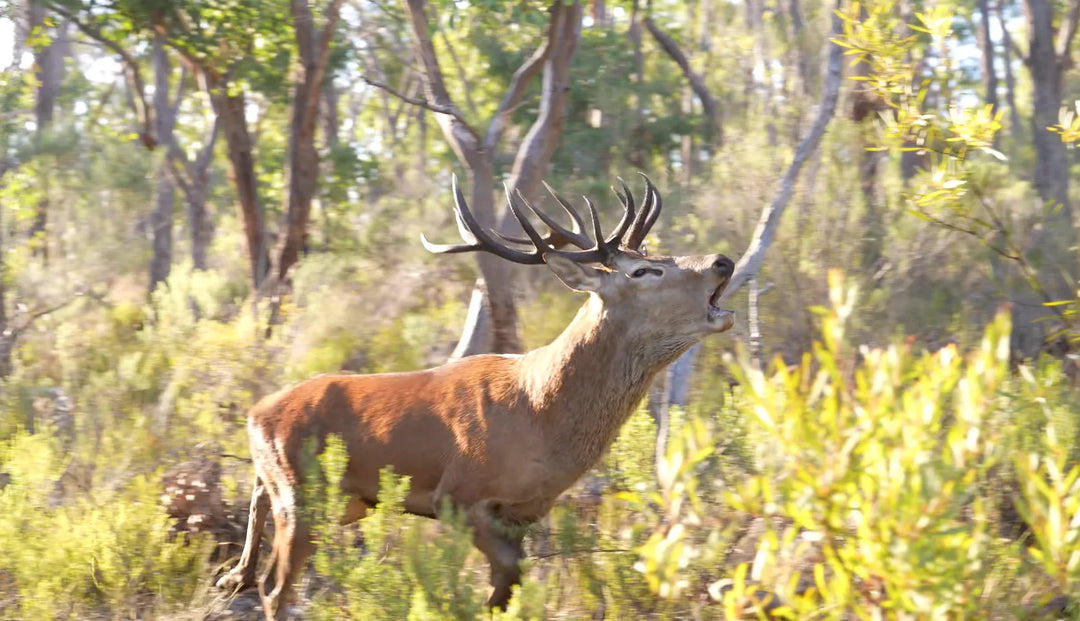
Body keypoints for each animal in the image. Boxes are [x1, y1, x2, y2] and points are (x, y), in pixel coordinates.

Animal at [215, 175, 736, 619]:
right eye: (644, 270)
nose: (722, 261)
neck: (542, 412)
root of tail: (255, 414)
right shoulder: (458, 494)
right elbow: (500, 584)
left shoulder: (525, 513)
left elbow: (507, 591)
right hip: (302, 495)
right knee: (274, 588)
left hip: (323, 498)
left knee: (257, 536)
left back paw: (230, 576)